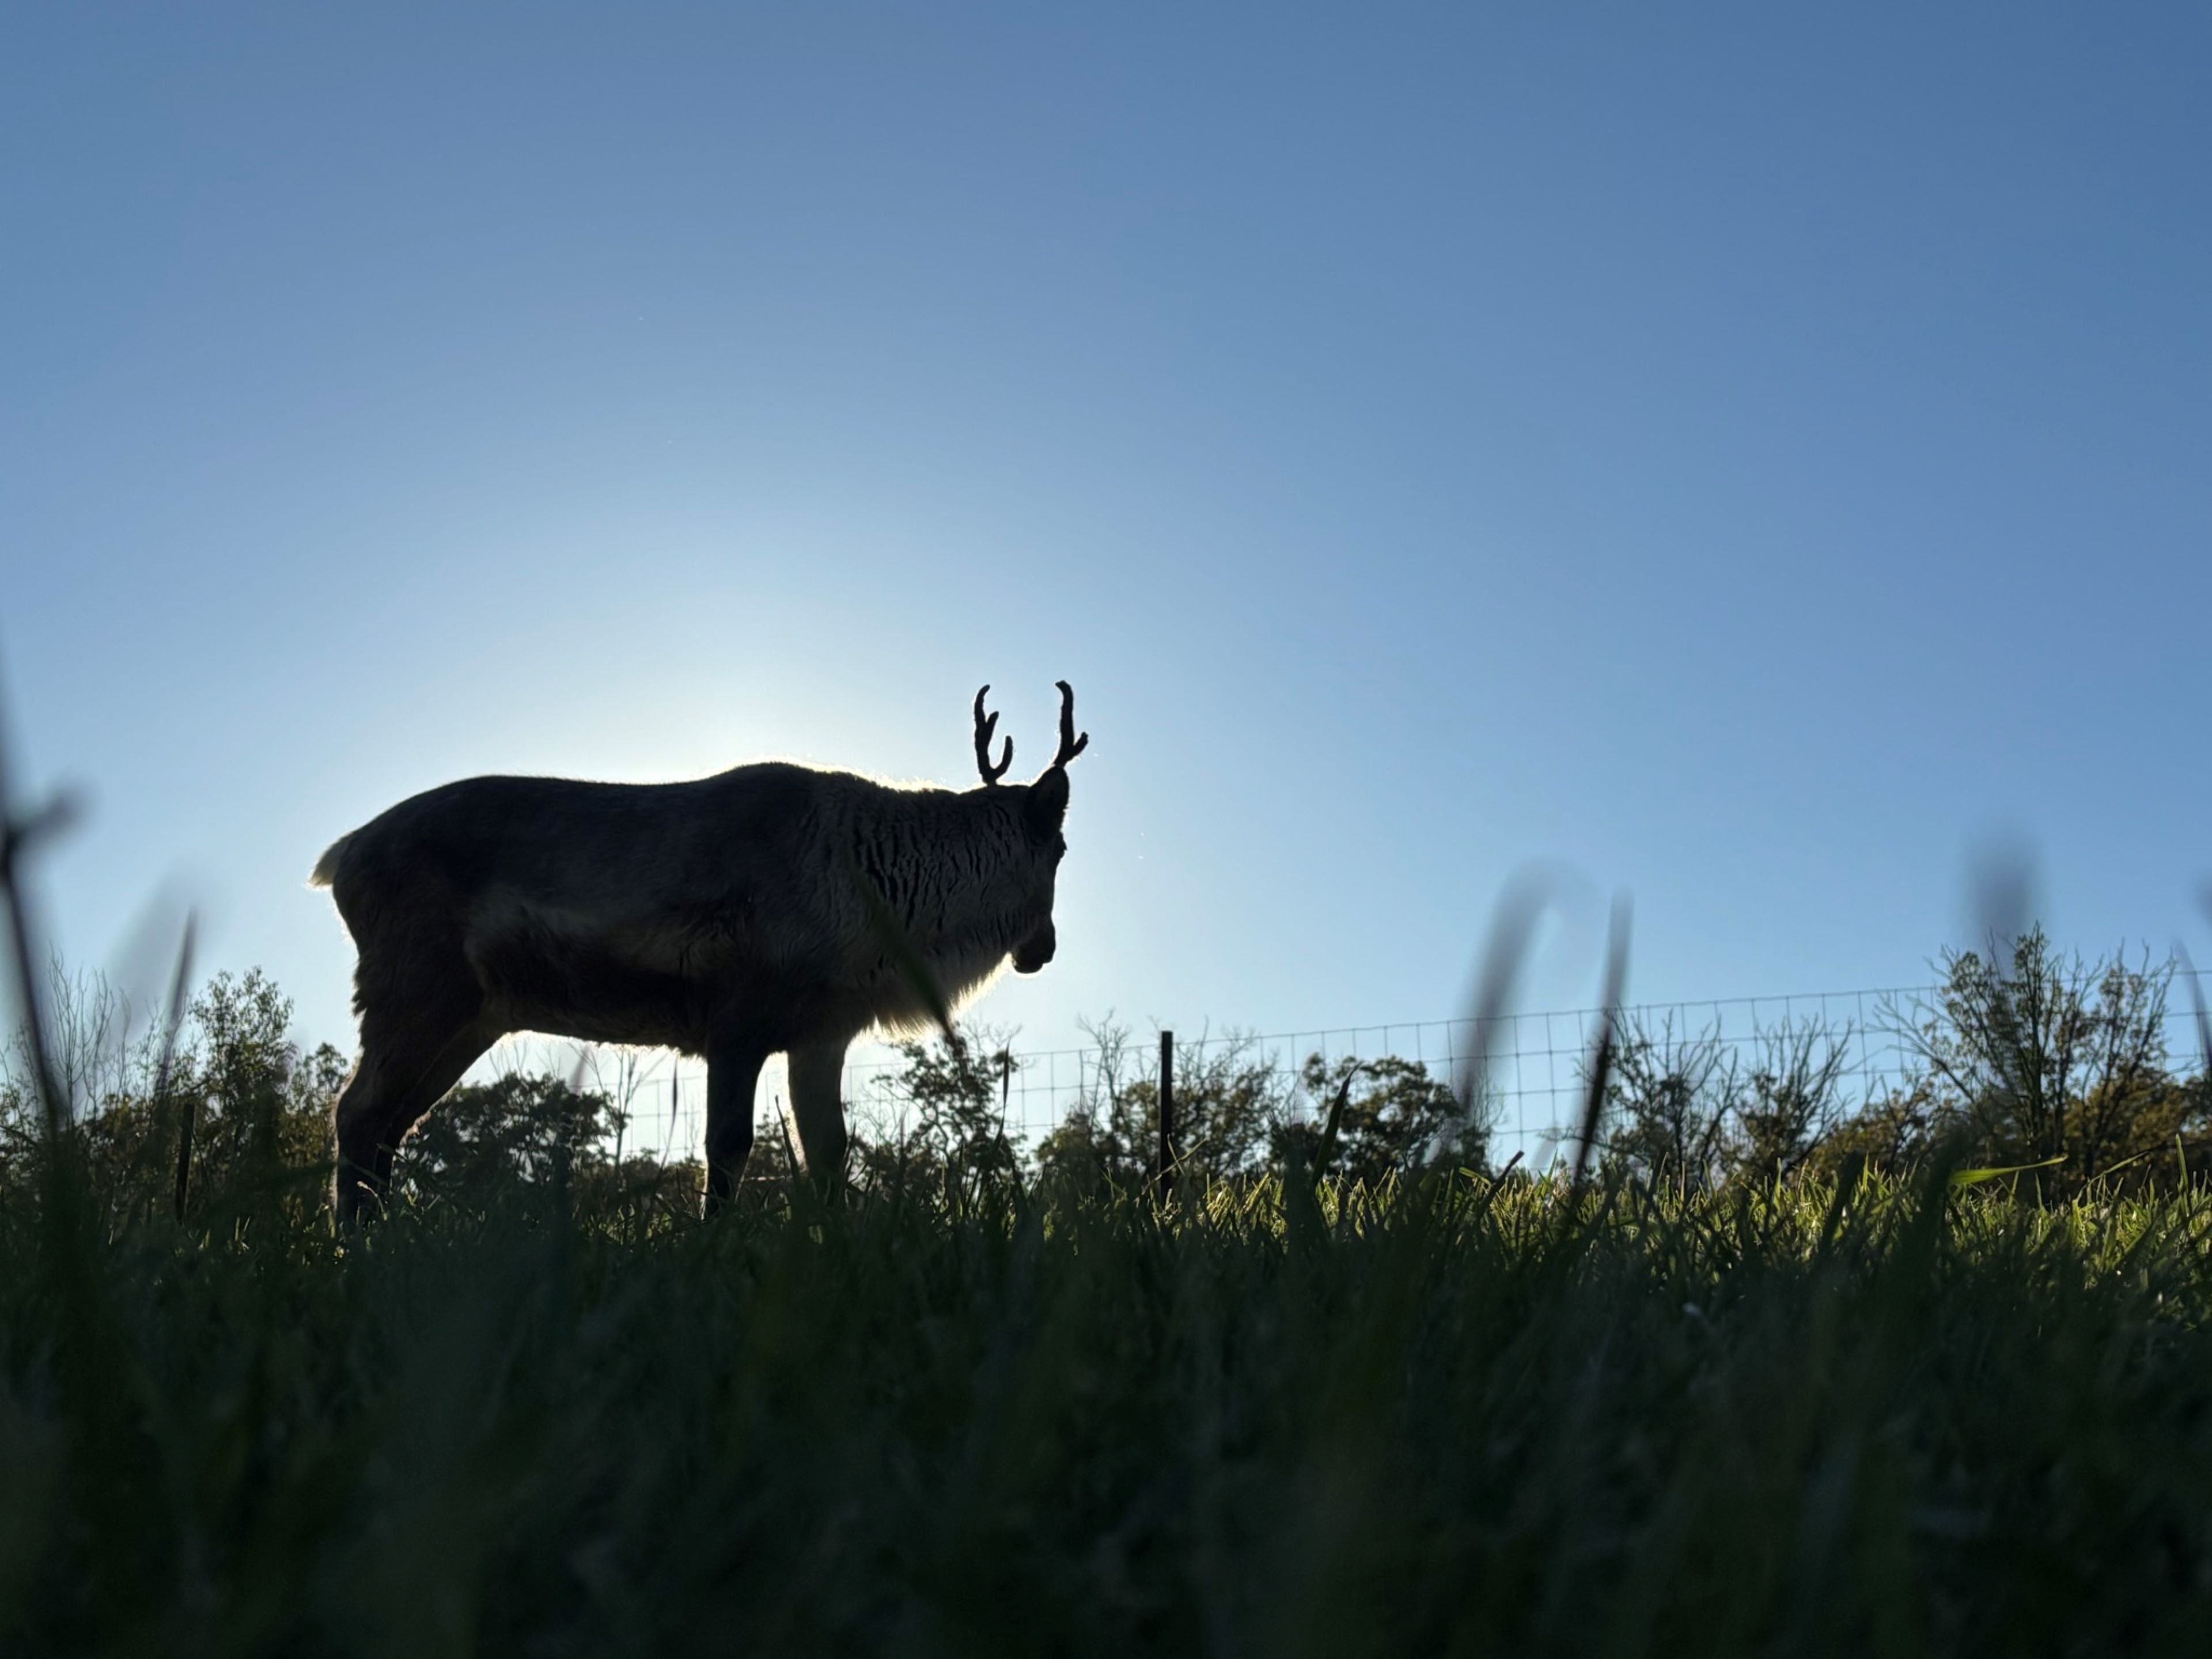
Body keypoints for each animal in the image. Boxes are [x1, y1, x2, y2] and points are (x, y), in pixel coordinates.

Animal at [310, 682, 1088, 1221]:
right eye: (1059, 850)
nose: (1044, 950)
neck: (877, 890)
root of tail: (338, 859)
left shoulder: (821, 1034)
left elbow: (829, 1156)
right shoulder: (736, 1025)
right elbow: (728, 1149)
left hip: (474, 1017)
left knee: (391, 1126)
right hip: (416, 991)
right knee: (358, 1114)